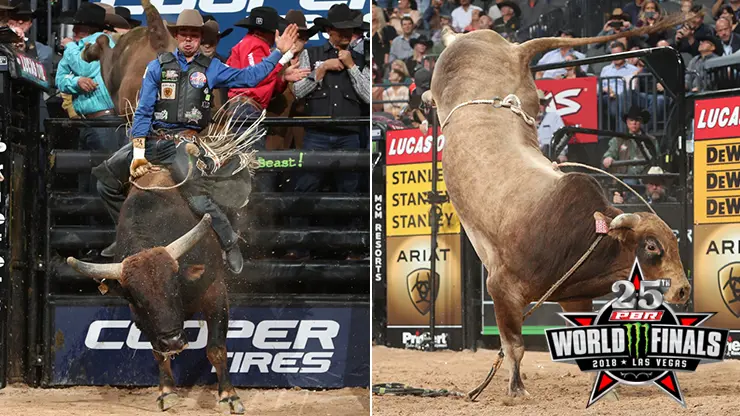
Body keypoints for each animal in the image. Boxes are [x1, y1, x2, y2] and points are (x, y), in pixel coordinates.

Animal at [66, 170, 246, 414]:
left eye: (174, 286)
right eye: (136, 299)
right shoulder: (142, 319)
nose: (173, 341)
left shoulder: (215, 290)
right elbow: (158, 353)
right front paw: (167, 391)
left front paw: (229, 396)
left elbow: (216, 349)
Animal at [426, 18, 692, 398]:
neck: (580, 233)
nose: (683, 289)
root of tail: (512, 48)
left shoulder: (574, 296)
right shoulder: (500, 289)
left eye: (674, 241)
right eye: (652, 246)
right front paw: (517, 389)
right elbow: (514, 346)